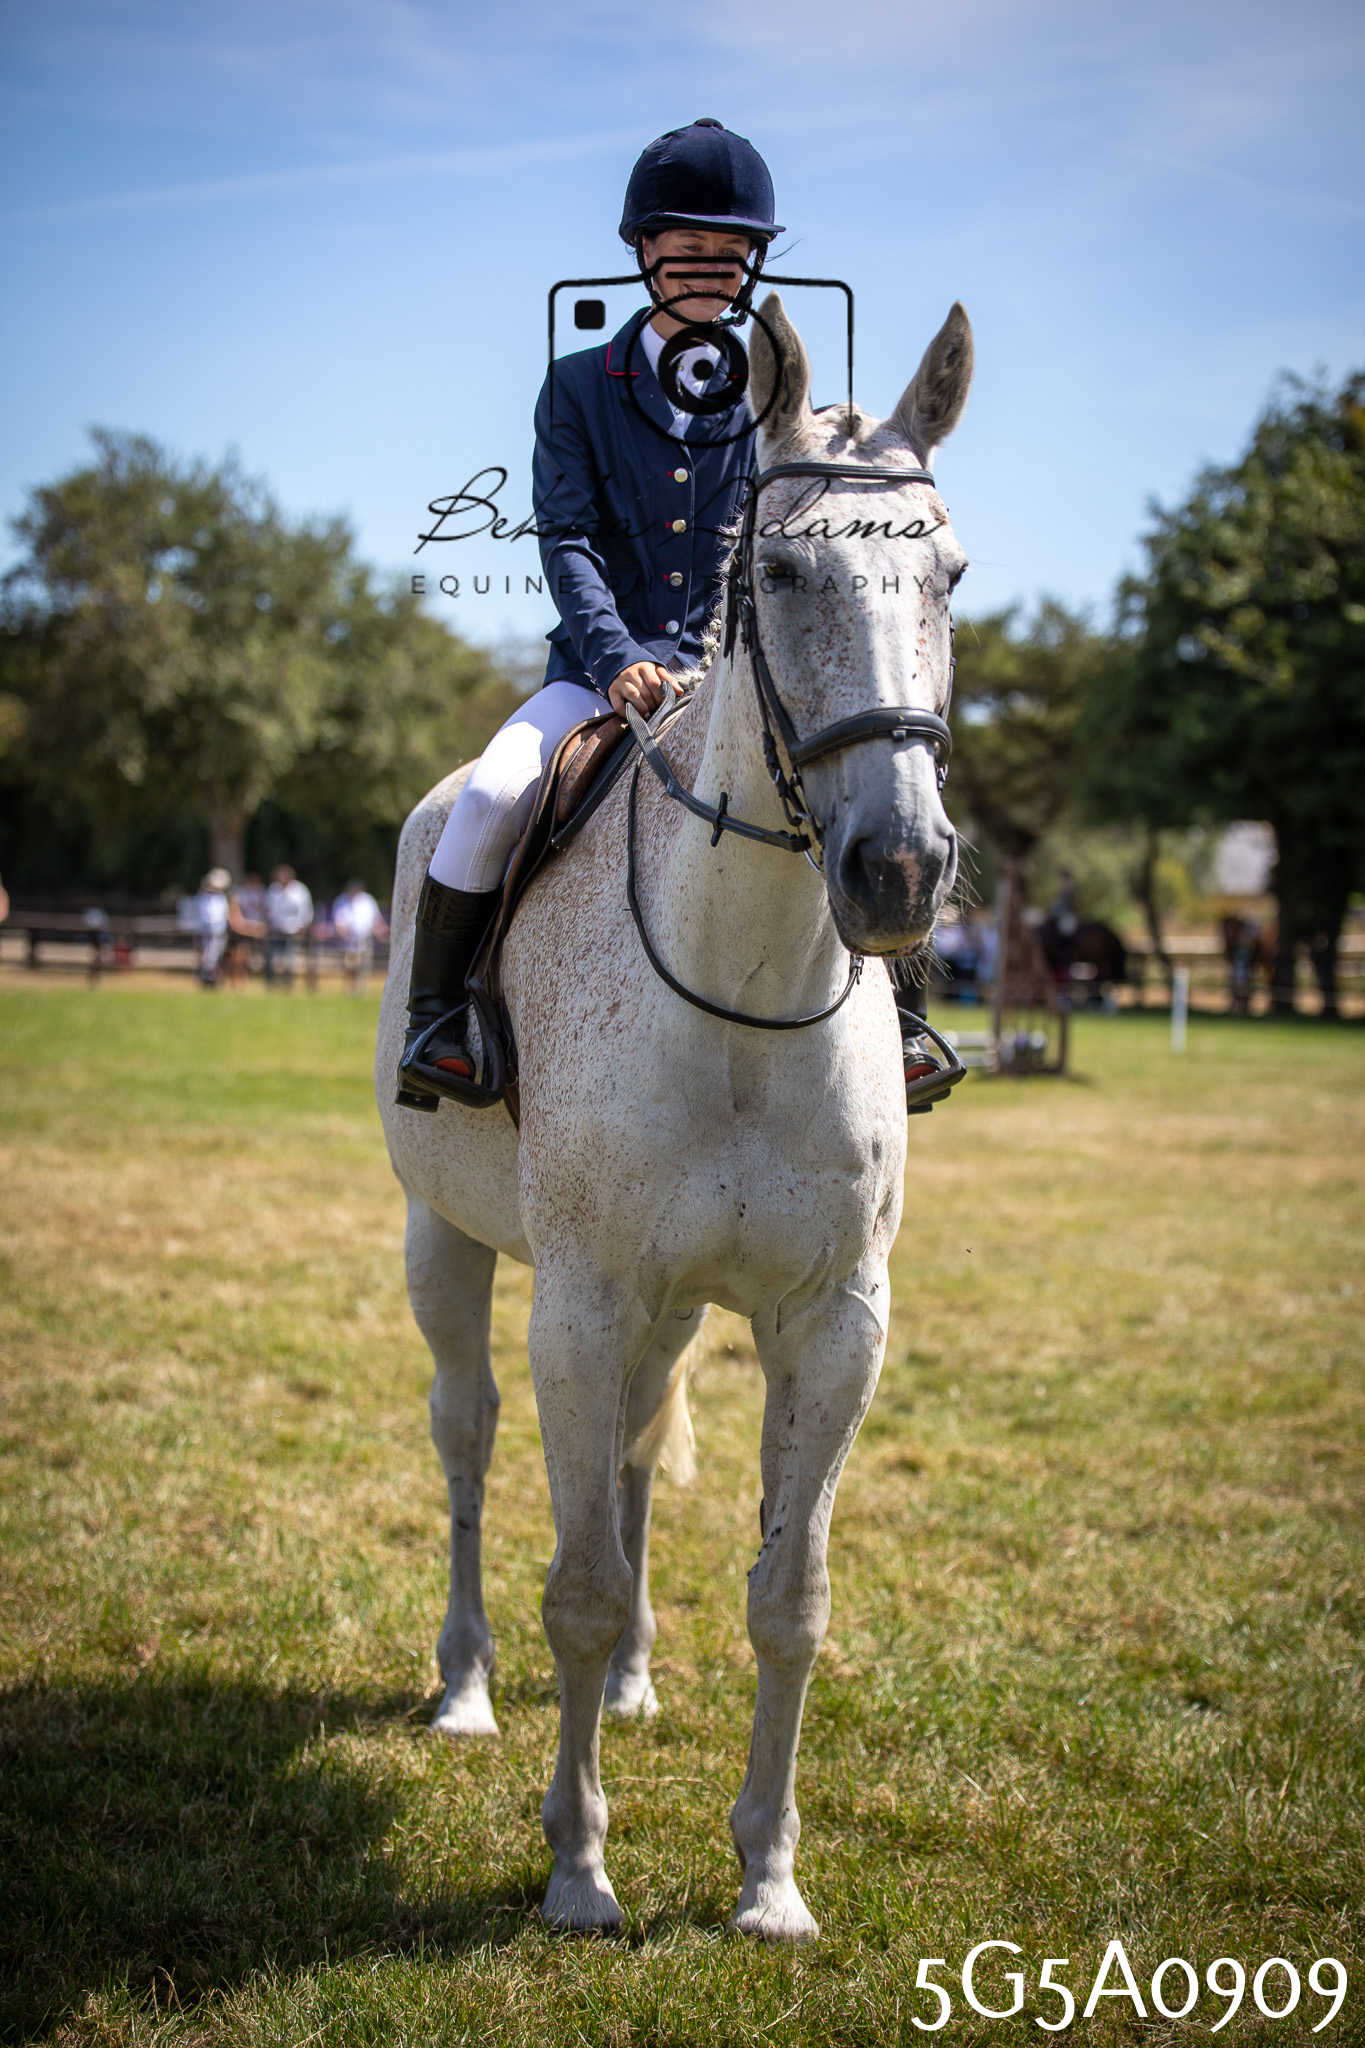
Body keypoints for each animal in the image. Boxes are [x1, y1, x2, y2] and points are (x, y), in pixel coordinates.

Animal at [375, 291, 973, 1942]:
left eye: (949, 573)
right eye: (777, 572)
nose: (898, 872)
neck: (744, 984)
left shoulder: (833, 1321)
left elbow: (789, 1599)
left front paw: (767, 1880)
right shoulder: (579, 1305)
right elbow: (572, 1585)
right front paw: (579, 1872)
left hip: (675, 1311)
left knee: (638, 1457)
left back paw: (641, 1685)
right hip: (447, 1243)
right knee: (468, 1440)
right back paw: (464, 1689)